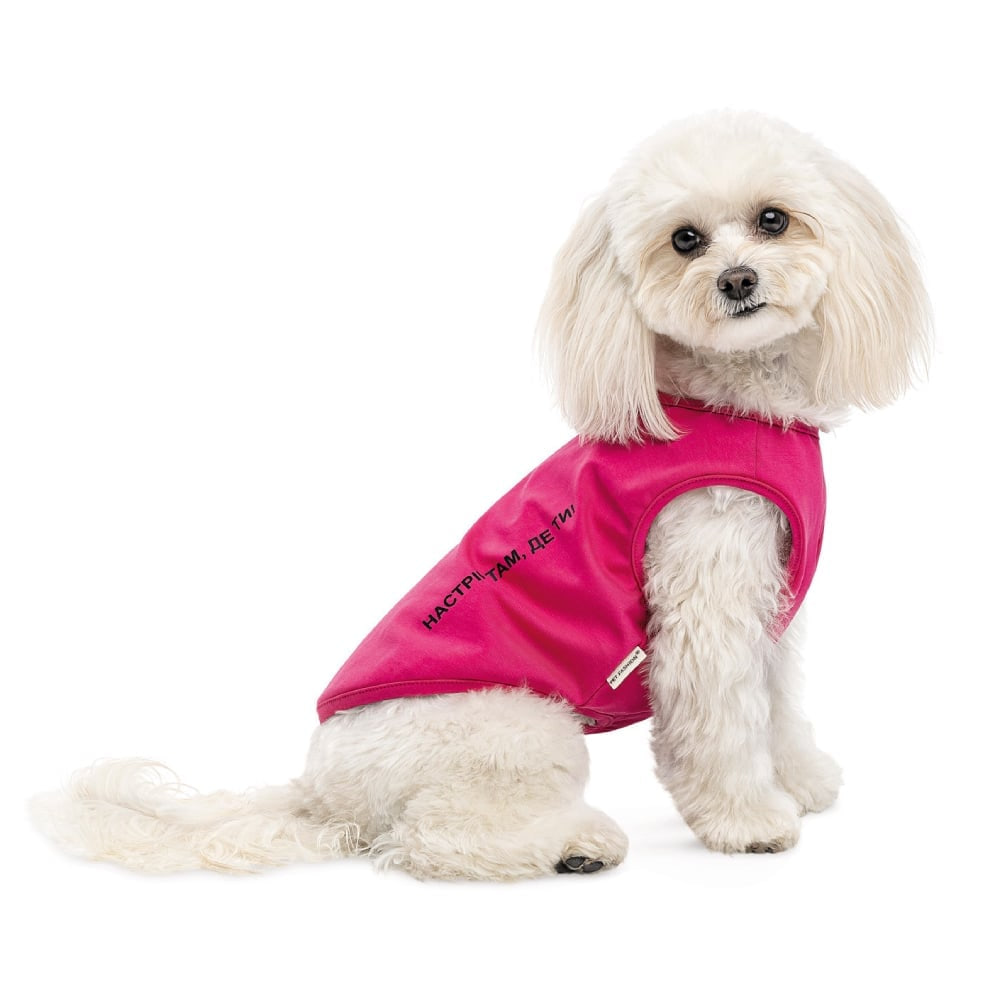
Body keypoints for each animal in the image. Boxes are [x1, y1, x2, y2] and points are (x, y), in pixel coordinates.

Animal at [32, 111, 930, 879]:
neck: (727, 402)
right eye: (685, 240)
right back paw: (573, 846)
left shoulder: (763, 596)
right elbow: (722, 728)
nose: (738, 280)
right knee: (431, 837)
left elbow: (775, 706)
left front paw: (801, 781)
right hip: (523, 728)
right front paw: (749, 822)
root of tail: (318, 792)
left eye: (775, 220)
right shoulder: (703, 608)